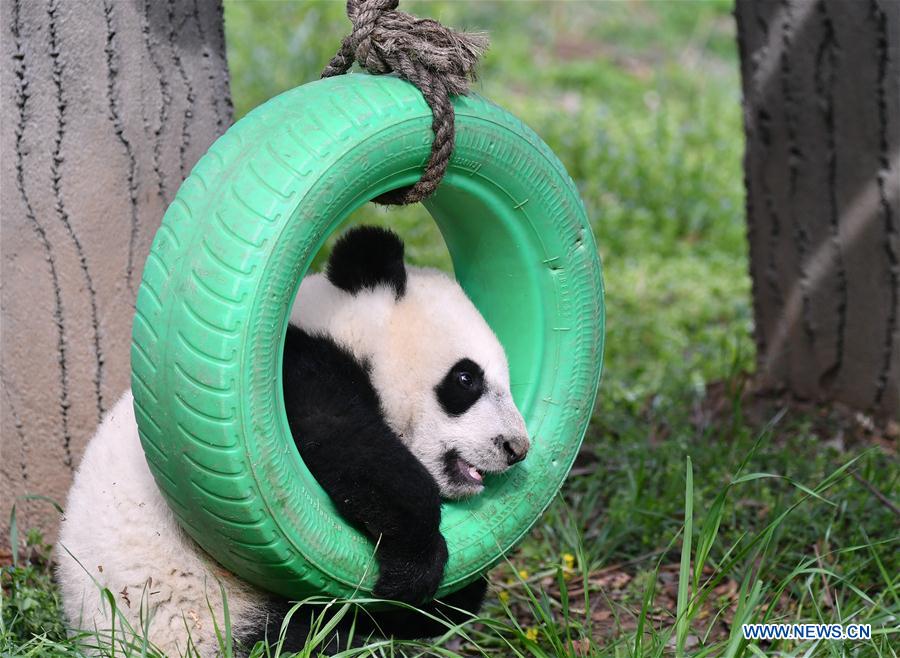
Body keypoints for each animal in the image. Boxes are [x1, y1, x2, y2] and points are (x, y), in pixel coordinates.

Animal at [56, 226, 530, 657]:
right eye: (466, 378)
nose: (516, 449)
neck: (341, 326)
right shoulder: (293, 375)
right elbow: (344, 441)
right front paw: (417, 561)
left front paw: (457, 591)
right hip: (201, 615)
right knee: (305, 639)